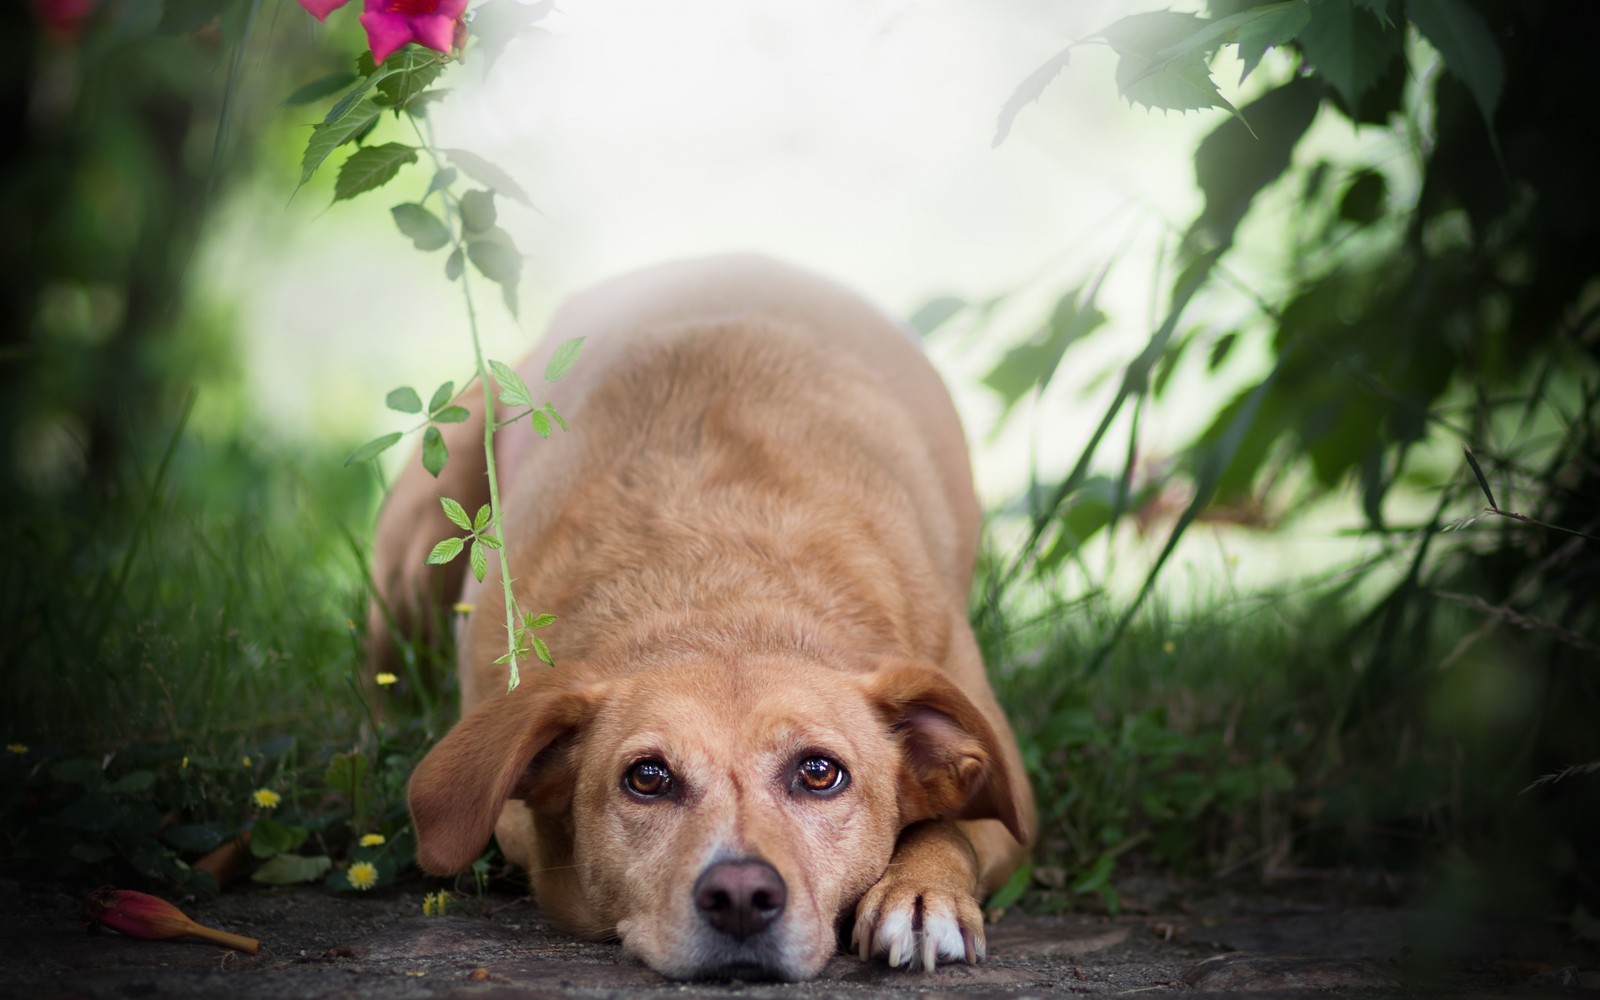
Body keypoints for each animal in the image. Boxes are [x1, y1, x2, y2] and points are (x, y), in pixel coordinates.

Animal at [380, 252, 1043, 979]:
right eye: (646, 778)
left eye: (820, 773)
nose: (741, 895)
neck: (722, 593)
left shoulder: (1010, 809)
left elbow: (945, 825)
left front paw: (921, 892)